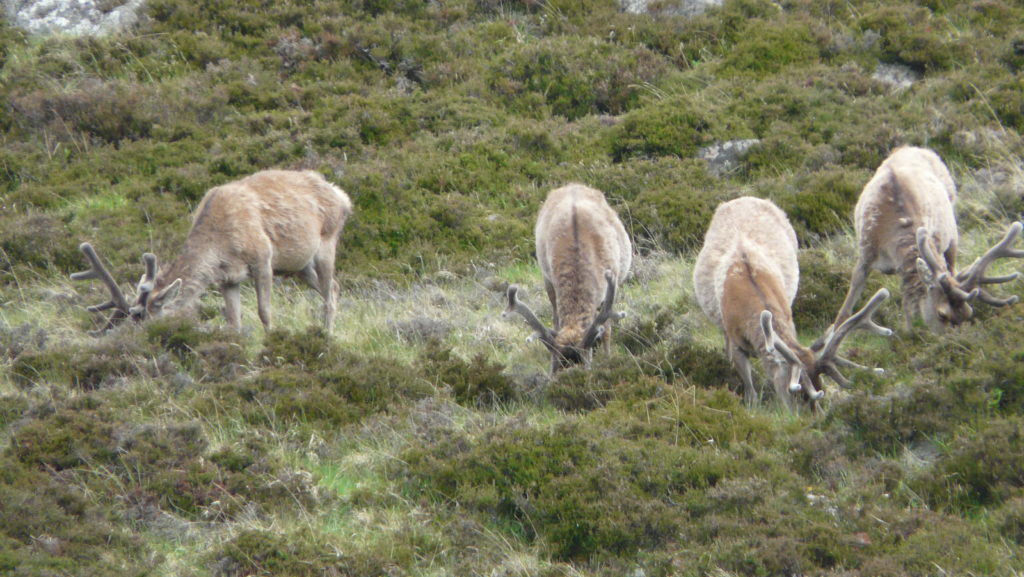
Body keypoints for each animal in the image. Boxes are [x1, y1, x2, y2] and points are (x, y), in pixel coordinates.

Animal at [72, 169, 353, 333]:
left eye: (145, 319)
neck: (220, 245)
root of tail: (342, 195)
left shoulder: (263, 258)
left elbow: (264, 311)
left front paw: (270, 343)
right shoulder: (227, 279)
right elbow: (233, 321)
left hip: (327, 242)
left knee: (329, 294)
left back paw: (327, 337)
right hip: (299, 266)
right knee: (334, 287)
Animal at [504, 183, 633, 373]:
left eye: (586, 367)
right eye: (558, 367)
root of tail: (573, 185)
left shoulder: (612, 283)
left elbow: (607, 328)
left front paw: (608, 359)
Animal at [693, 197, 892, 410]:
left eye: (821, 385)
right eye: (793, 391)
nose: (815, 415)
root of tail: (744, 198)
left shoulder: (790, 321)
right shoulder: (735, 339)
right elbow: (750, 389)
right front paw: (752, 405)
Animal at [826, 146, 1023, 337]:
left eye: (969, 313)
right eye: (942, 314)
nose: (955, 340)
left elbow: (907, 303)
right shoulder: (866, 253)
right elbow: (847, 306)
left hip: (953, 232)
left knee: (952, 267)